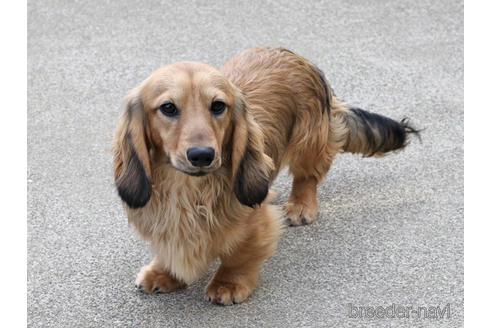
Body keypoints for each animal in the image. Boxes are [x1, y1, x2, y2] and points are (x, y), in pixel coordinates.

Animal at [112, 47, 418, 306]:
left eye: (218, 106)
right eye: (168, 107)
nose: (202, 155)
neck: (189, 189)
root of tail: (292, 55)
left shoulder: (255, 219)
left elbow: (240, 254)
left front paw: (228, 284)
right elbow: (168, 248)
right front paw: (164, 273)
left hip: (310, 142)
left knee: (307, 178)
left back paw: (301, 206)